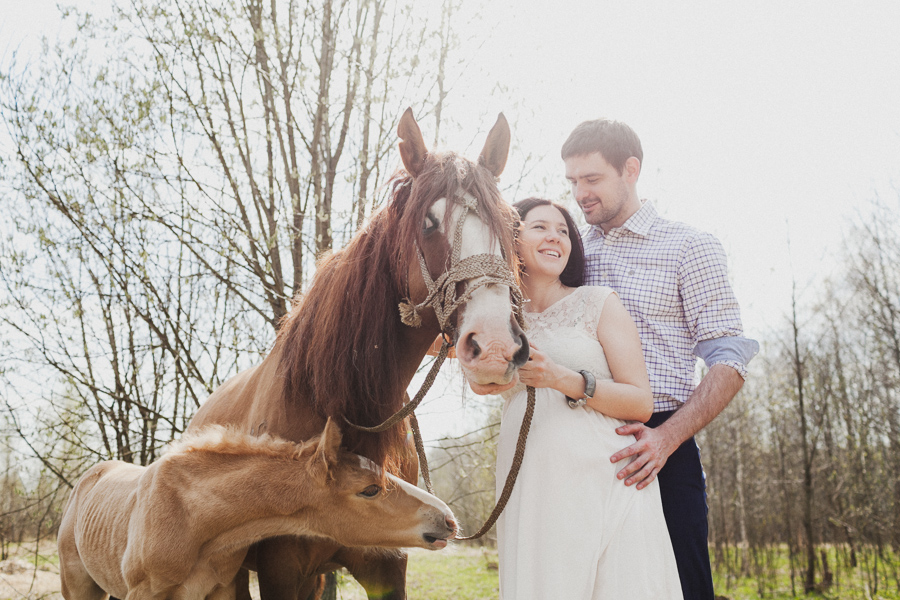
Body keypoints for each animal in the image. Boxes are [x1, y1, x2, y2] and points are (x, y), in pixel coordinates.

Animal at [188, 109, 528, 600]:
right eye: (429, 222)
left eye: (511, 227)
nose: (497, 346)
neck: (328, 400)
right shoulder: (280, 570)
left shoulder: (387, 565)